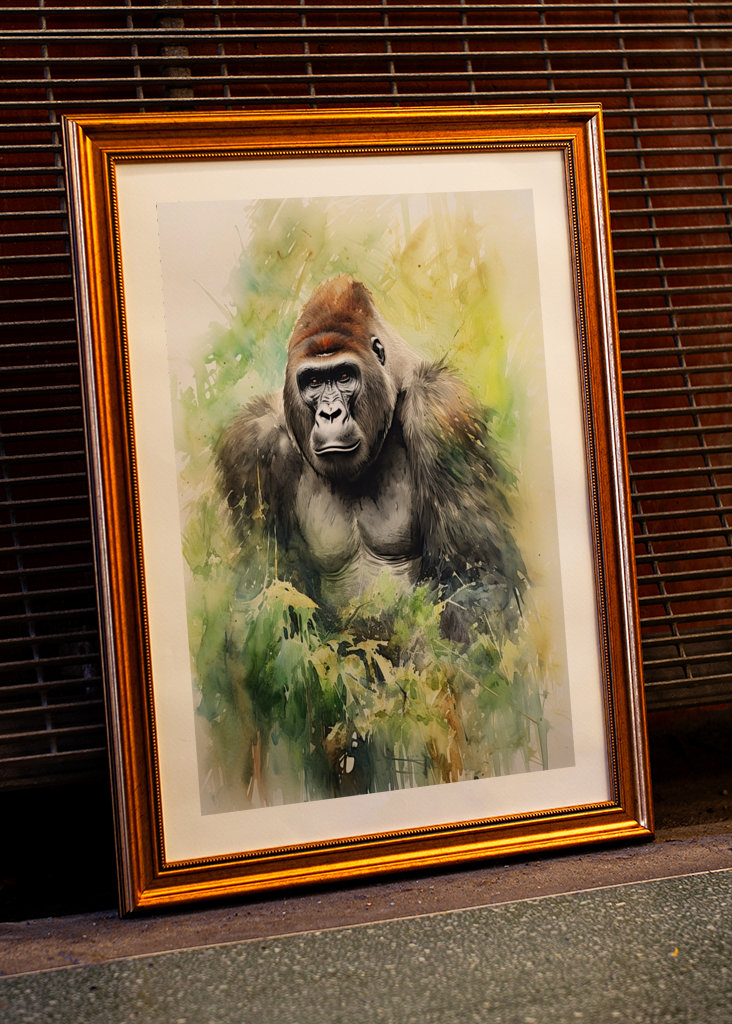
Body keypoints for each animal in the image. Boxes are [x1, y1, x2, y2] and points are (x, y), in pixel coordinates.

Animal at [218, 275, 525, 633]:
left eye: (343, 376)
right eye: (313, 381)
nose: (330, 414)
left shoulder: (441, 409)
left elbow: (477, 580)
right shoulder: (251, 443)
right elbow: (256, 591)